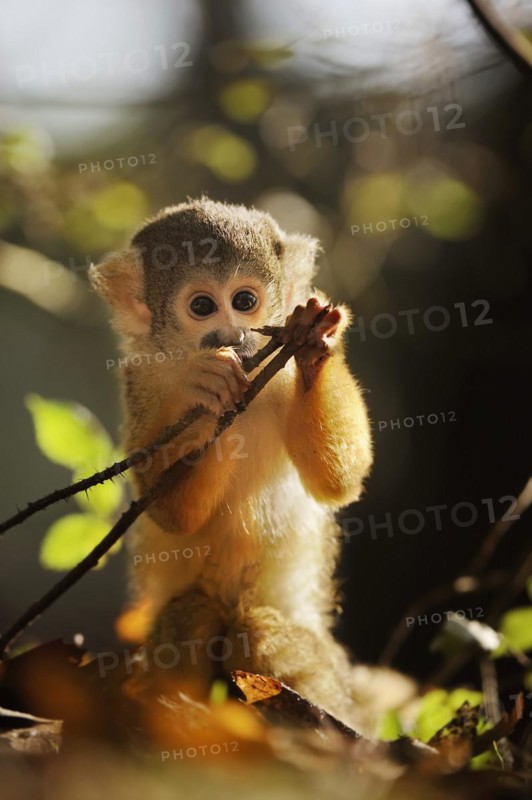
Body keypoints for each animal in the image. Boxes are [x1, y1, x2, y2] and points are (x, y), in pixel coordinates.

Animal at [89, 197, 414, 733]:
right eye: (203, 307)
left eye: (244, 300)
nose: (233, 334)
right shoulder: (140, 383)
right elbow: (172, 513)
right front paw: (209, 388)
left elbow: (339, 482)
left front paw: (313, 349)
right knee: (190, 615)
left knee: (260, 632)